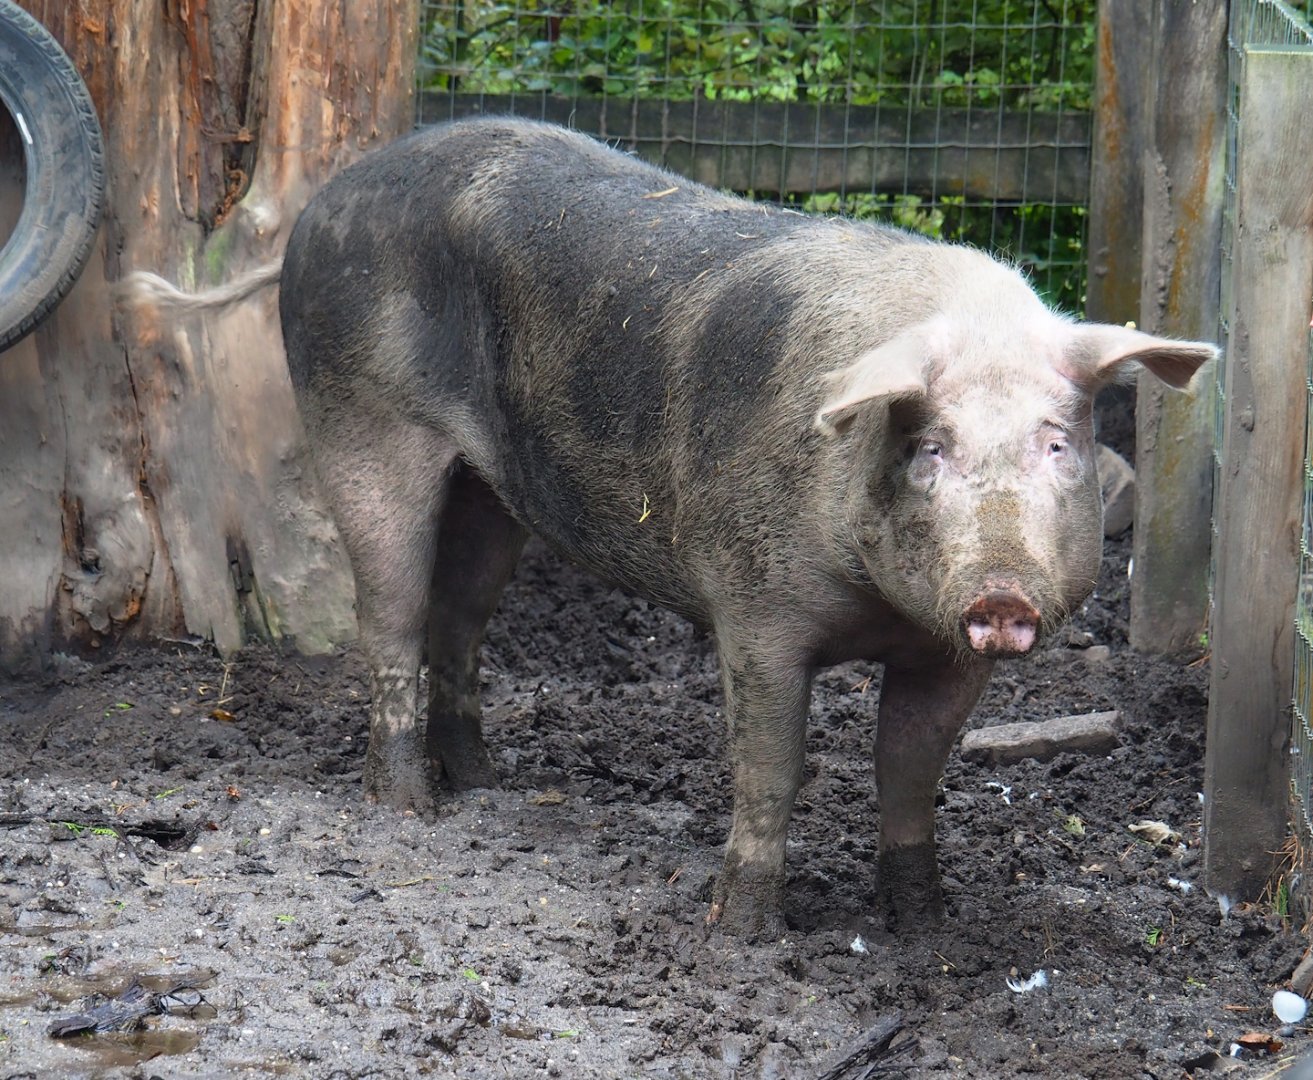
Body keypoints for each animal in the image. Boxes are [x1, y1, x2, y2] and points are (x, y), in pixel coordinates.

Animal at [122, 117, 1217, 938]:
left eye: (1056, 444)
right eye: (929, 448)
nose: (999, 592)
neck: (875, 610)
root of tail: (323, 202)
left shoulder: (946, 650)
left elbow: (908, 771)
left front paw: (924, 926)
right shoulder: (755, 612)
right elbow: (770, 768)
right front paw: (743, 938)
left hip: (493, 489)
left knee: (456, 621)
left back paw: (486, 781)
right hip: (361, 420)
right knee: (387, 613)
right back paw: (411, 807)